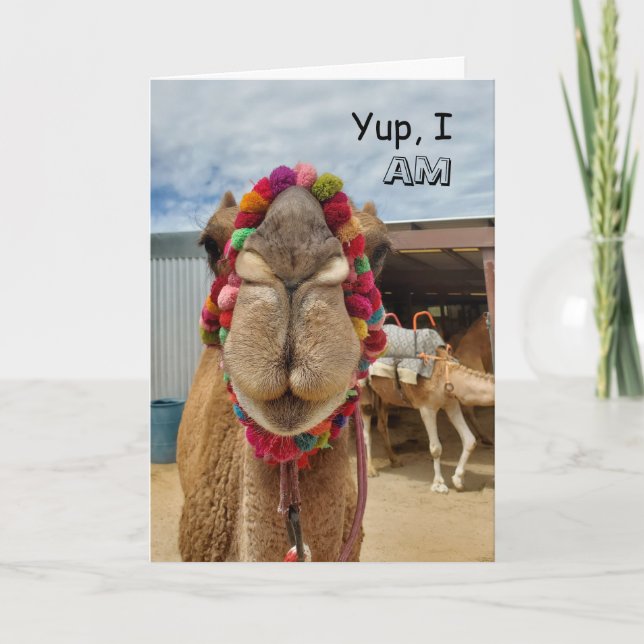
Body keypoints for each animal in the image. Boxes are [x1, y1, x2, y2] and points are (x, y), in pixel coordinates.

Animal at [360, 344, 494, 492]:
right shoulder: (427, 408)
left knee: (382, 425)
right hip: (362, 389)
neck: (446, 374)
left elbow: (470, 440)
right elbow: (436, 448)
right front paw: (438, 484)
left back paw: (395, 460)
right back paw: (371, 470)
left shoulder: (451, 404)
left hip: (383, 395)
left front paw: (458, 480)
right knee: (366, 428)